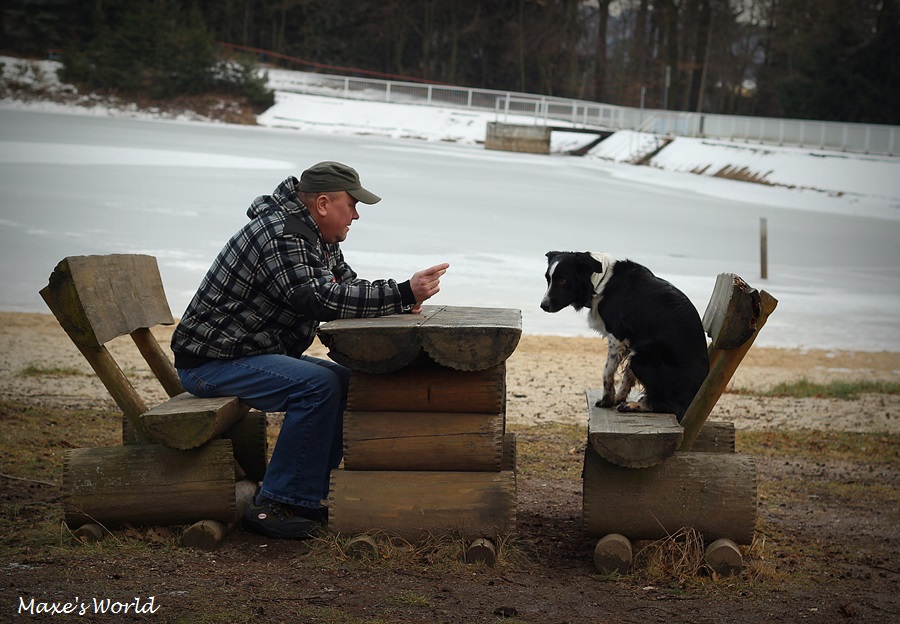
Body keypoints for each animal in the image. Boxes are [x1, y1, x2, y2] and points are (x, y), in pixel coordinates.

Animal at [540, 251, 712, 422]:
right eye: (548, 280)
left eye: (562, 281)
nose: (543, 306)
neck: (601, 282)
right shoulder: (630, 341)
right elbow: (627, 376)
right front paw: (618, 398)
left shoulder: (618, 336)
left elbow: (607, 372)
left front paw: (607, 400)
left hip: (643, 355)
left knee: (670, 406)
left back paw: (635, 406)